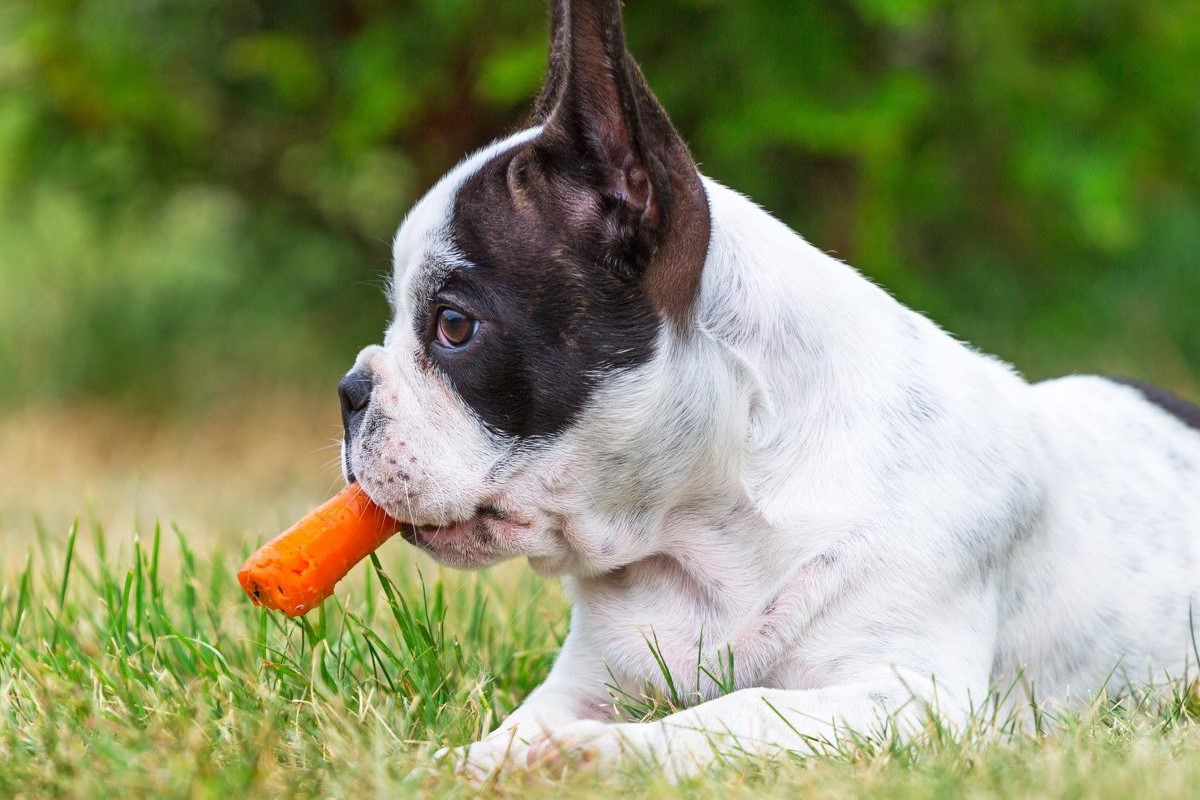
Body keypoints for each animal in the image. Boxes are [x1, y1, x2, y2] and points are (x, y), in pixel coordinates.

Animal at [338, 0, 1200, 782]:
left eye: (454, 327)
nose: (349, 391)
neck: (701, 537)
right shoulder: (586, 678)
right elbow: (519, 725)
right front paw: (469, 761)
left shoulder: (908, 697)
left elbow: (736, 708)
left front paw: (601, 755)